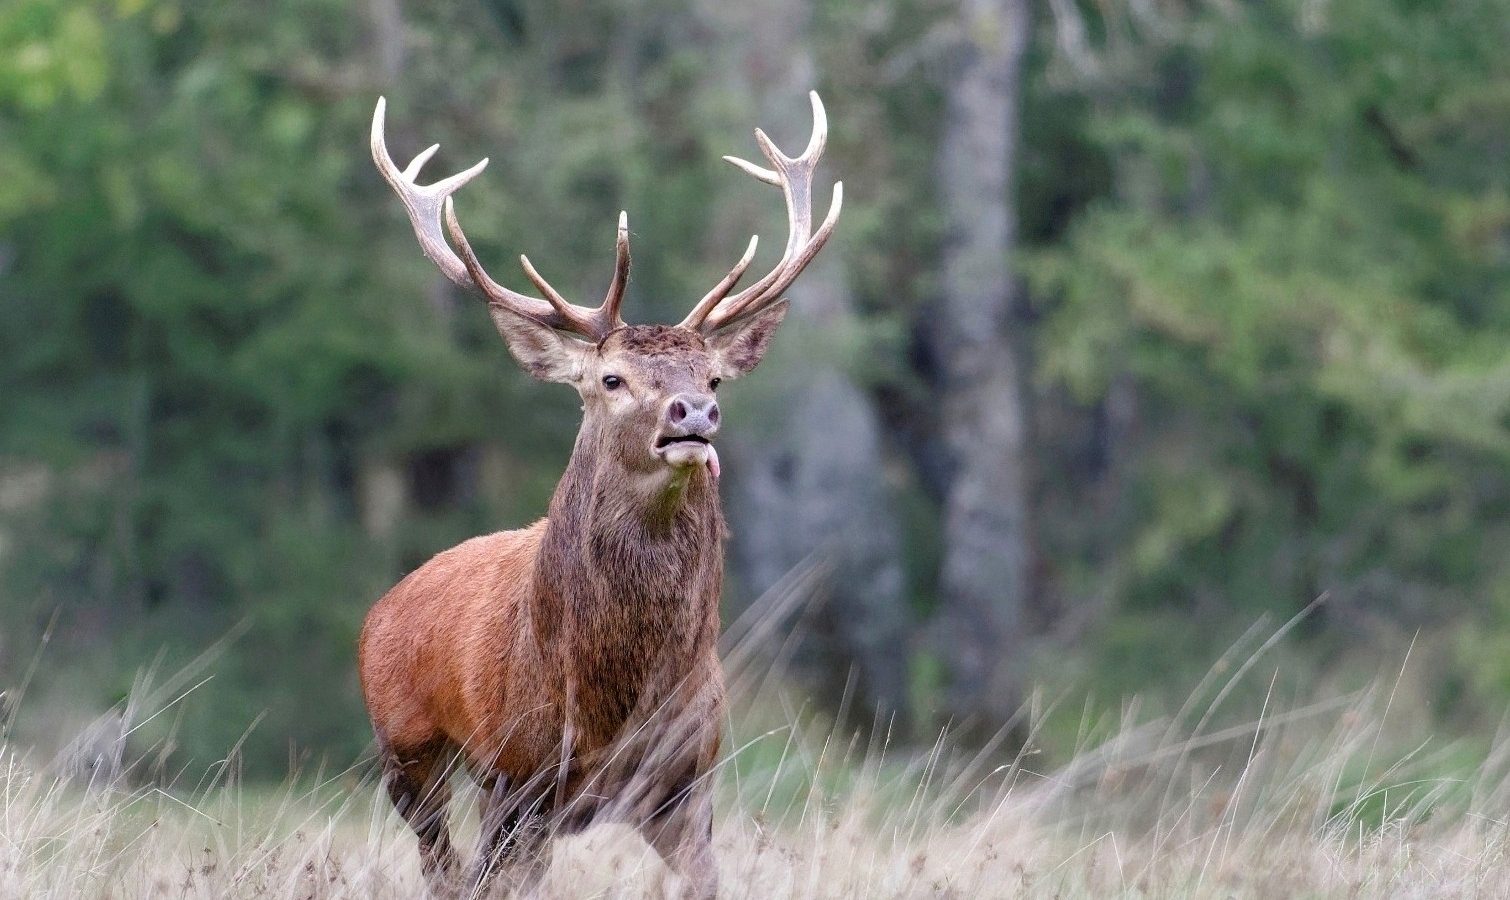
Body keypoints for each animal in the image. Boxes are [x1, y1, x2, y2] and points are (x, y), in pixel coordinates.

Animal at [357, 92, 841, 899]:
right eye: (611, 379)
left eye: (713, 377)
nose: (693, 414)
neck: (612, 699)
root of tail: (379, 609)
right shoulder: (518, 774)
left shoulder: (685, 783)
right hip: (406, 750)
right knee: (443, 867)